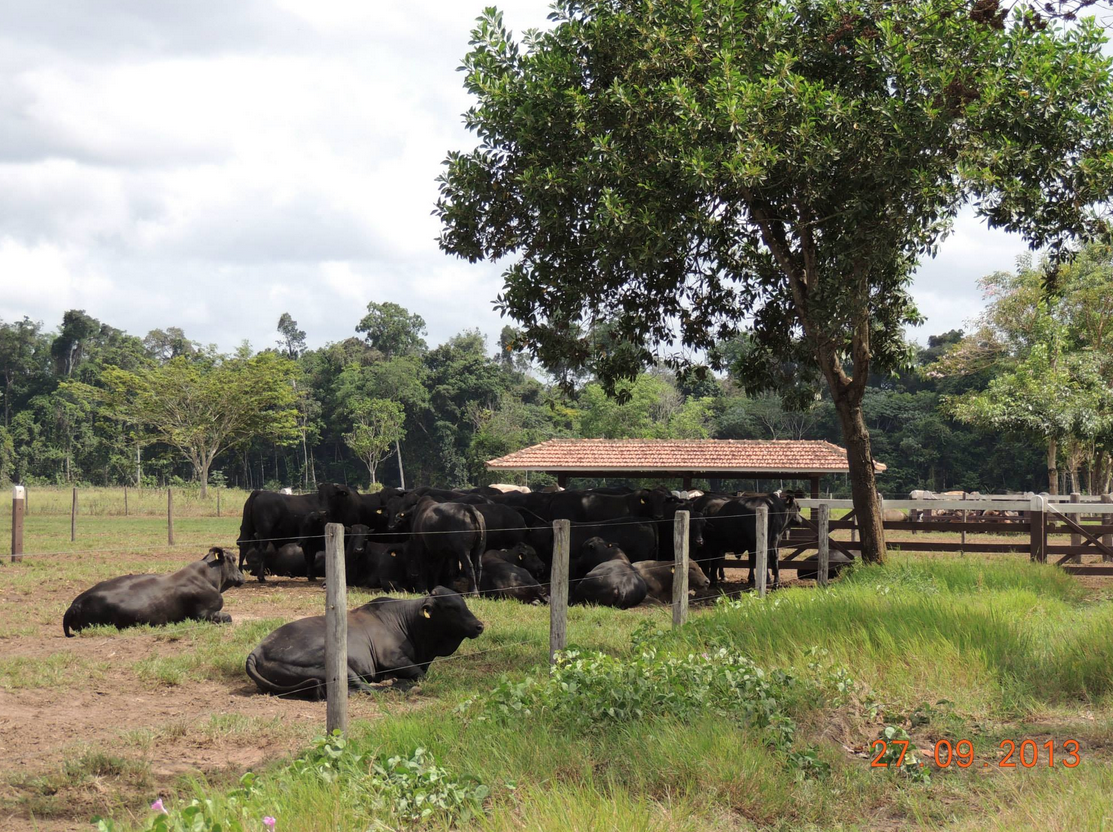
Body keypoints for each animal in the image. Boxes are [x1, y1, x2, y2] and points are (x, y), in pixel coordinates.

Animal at [63, 545, 245, 636]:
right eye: (233, 559)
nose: (242, 576)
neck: (208, 578)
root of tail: (76, 604)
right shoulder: (203, 614)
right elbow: (228, 617)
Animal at [245, 587, 480, 698]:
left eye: (464, 602)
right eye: (451, 607)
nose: (479, 625)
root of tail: (257, 650)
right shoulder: (392, 659)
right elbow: (419, 674)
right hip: (333, 662)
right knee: (362, 688)